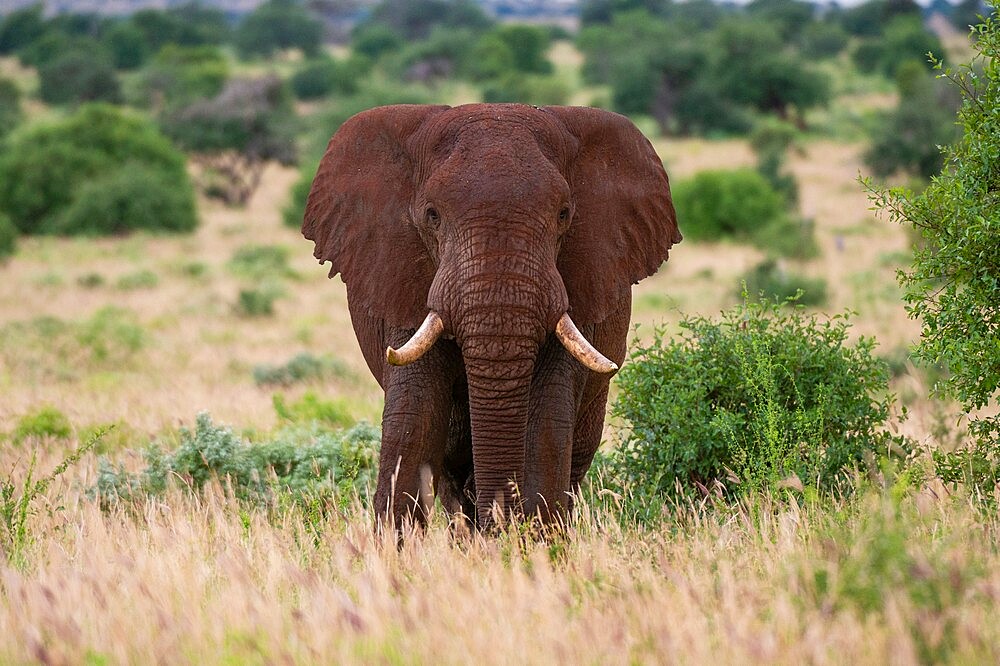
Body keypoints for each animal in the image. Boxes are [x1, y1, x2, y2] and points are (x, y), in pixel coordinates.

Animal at [304, 102, 680, 528]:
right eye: (432, 215)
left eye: (564, 214)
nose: (498, 524)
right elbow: (413, 418)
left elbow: (545, 421)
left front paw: (533, 540)